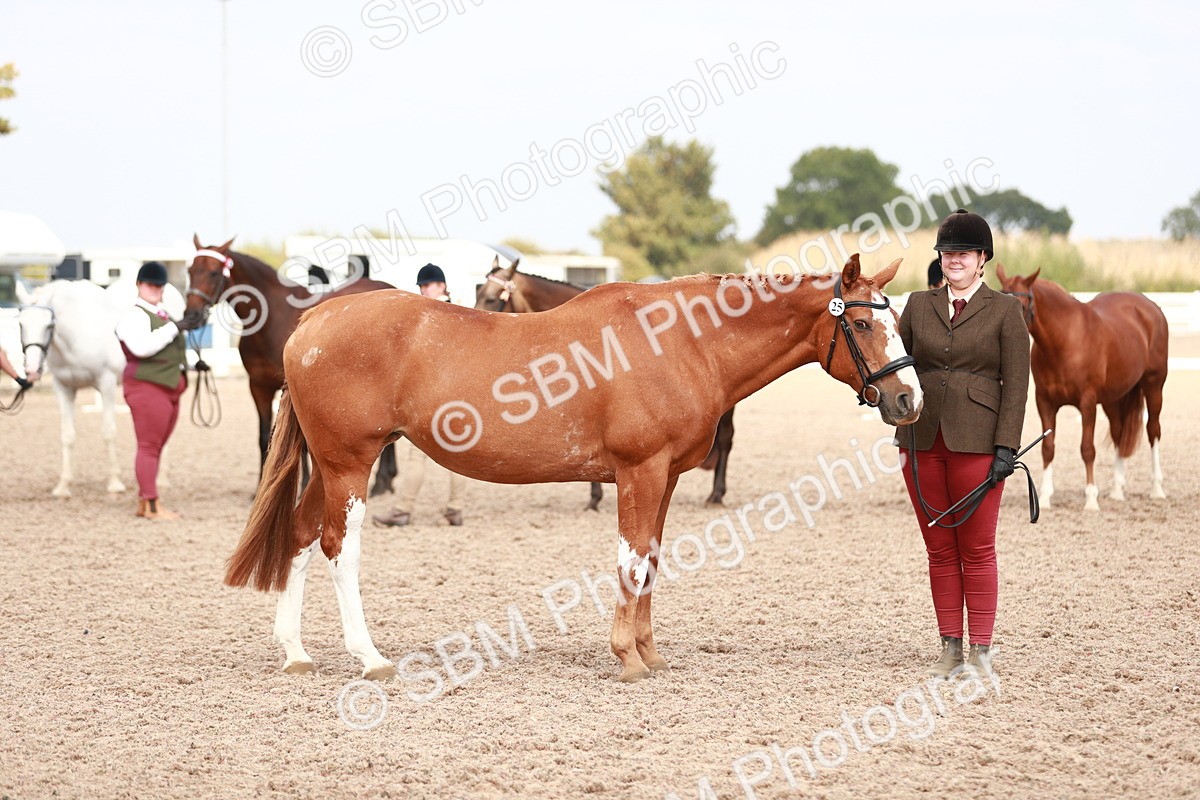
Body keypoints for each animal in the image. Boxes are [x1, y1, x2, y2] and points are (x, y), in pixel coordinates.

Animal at [18, 280, 181, 497]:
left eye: (49, 324)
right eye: (21, 323)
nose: (32, 370)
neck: (77, 335)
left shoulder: (107, 382)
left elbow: (108, 431)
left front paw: (115, 483)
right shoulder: (63, 388)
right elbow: (67, 435)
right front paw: (63, 486)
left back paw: (161, 479)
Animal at [183, 236, 400, 495]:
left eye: (214, 273)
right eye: (190, 270)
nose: (191, 316)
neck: (272, 319)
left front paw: (301, 485)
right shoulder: (258, 386)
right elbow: (264, 437)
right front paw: (261, 487)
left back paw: (381, 482)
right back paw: (386, 480)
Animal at [996, 264, 1169, 511]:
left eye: (1022, 304)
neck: (1065, 341)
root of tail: (1150, 307)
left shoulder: (1088, 403)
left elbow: (1087, 449)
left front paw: (1091, 500)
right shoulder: (1044, 403)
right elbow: (1048, 448)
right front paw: (1045, 498)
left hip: (1153, 385)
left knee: (1153, 431)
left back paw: (1157, 489)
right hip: (1114, 398)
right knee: (1118, 433)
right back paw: (1117, 491)